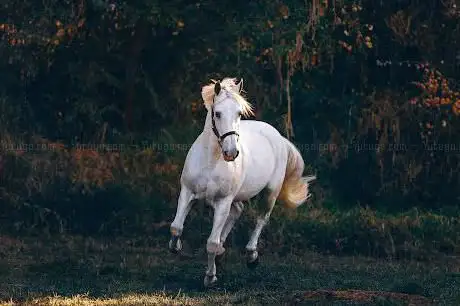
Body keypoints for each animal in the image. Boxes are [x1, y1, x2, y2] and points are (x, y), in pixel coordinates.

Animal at [169, 76, 316, 286]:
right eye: (217, 113)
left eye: (239, 113)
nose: (231, 153)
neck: (211, 160)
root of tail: (278, 136)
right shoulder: (187, 192)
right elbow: (176, 228)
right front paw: (176, 246)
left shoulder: (223, 201)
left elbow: (211, 243)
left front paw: (210, 277)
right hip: (237, 196)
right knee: (237, 211)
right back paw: (222, 253)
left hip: (270, 193)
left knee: (261, 218)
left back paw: (251, 256)